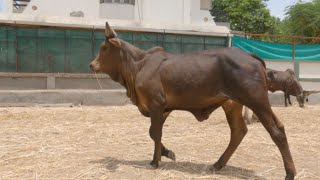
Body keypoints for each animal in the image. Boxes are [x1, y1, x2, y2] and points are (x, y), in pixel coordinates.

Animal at [89, 21, 296, 179]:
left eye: (104, 48)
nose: (92, 64)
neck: (138, 66)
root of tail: (250, 55)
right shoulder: (164, 108)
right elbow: (154, 133)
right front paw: (167, 153)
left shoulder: (156, 104)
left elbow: (155, 133)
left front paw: (155, 161)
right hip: (234, 104)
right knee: (241, 131)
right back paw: (218, 164)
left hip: (257, 101)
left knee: (276, 132)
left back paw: (290, 173)